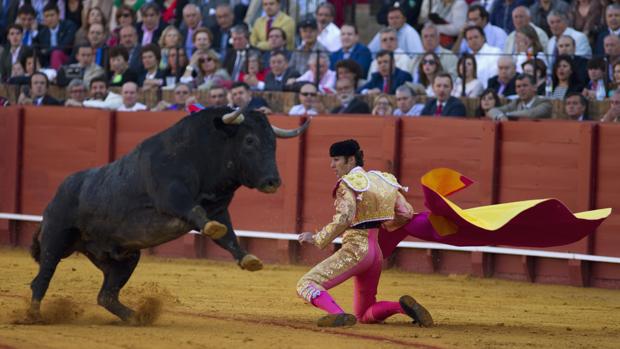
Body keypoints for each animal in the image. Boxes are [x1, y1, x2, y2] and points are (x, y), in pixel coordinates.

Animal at [24, 106, 310, 324]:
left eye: (273, 143)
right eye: (250, 141)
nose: (273, 181)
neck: (201, 156)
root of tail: (54, 198)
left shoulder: (218, 208)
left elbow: (228, 236)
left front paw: (248, 259)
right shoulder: (172, 198)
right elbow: (200, 215)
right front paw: (213, 230)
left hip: (125, 257)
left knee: (106, 294)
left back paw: (136, 316)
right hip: (55, 238)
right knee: (42, 278)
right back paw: (32, 315)